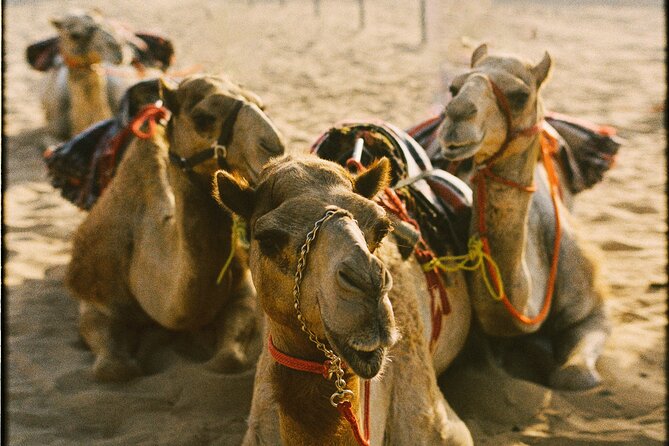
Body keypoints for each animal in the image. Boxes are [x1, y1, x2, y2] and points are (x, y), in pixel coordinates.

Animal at [66, 74, 285, 381]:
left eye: (261, 105)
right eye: (203, 118)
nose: (274, 148)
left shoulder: (242, 293)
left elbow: (228, 359)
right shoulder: (95, 301)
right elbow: (115, 368)